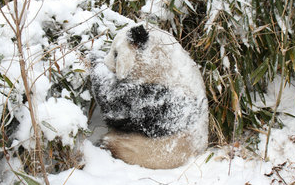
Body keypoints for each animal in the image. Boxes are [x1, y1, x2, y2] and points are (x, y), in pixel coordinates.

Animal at [91, 23, 209, 169]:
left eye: (116, 54)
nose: (106, 63)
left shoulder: (162, 100)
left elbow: (115, 106)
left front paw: (95, 60)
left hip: (140, 152)